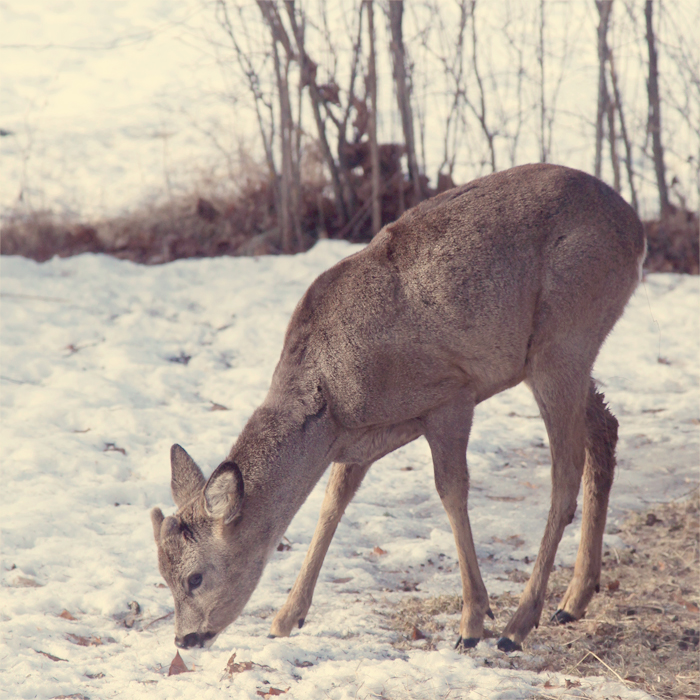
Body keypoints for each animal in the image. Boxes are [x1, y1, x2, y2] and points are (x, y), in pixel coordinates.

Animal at [150, 163, 644, 652]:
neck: (332, 399)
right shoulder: (357, 440)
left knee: (564, 476)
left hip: (563, 339)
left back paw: (517, 625)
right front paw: (287, 617)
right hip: (563, 355)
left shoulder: (451, 392)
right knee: (606, 428)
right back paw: (572, 601)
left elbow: (451, 492)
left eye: (195, 577)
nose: (185, 639)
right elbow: (332, 503)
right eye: (163, 577)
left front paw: (472, 621)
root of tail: (634, 228)